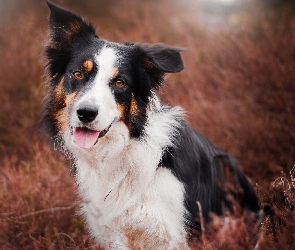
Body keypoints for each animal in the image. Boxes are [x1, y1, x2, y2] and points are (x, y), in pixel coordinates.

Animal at [42, 0, 260, 249]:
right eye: (77, 74)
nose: (86, 113)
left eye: (120, 82)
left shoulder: (173, 233)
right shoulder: (114, 232)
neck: (121, 151)